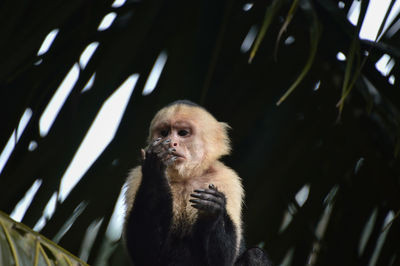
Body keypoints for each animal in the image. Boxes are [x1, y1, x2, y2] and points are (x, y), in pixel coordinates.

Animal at [122, 100, 272, 266]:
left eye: (182, 133)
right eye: (164, 133)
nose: (172, 143)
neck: (186, 177)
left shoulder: (226, 178)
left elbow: (224, 258)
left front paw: (212, 209)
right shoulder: (136, 177)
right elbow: (145, 252)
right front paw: (157, 162)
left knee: (256, 255)